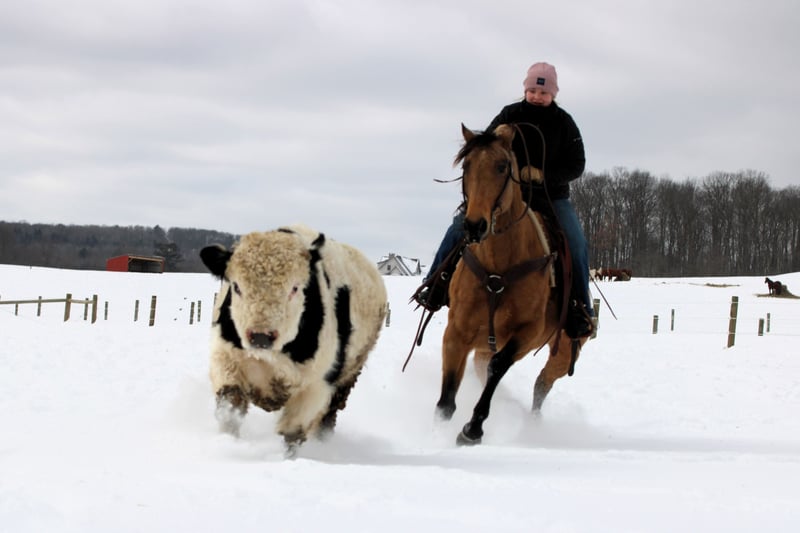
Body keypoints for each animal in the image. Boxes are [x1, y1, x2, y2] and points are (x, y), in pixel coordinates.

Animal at [200, 224, 387, 454]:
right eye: (236, 286)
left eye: (295, 288)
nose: (261, 336)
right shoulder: (225, 358)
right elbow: (230, 409)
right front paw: (229, 444)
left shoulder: (316, 385)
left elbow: (292, 433)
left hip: (347, 377)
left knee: (327, 418)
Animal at [435, 123, 589, 445]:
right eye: (467, 166)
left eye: (502, 166)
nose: (474, 225)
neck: (499, 267)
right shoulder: (457, 330)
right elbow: (447, 396)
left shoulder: (528, 333)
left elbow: (498, 367)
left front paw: (472, 429)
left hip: (564, 351)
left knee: (541, 385)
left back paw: (532, 424)